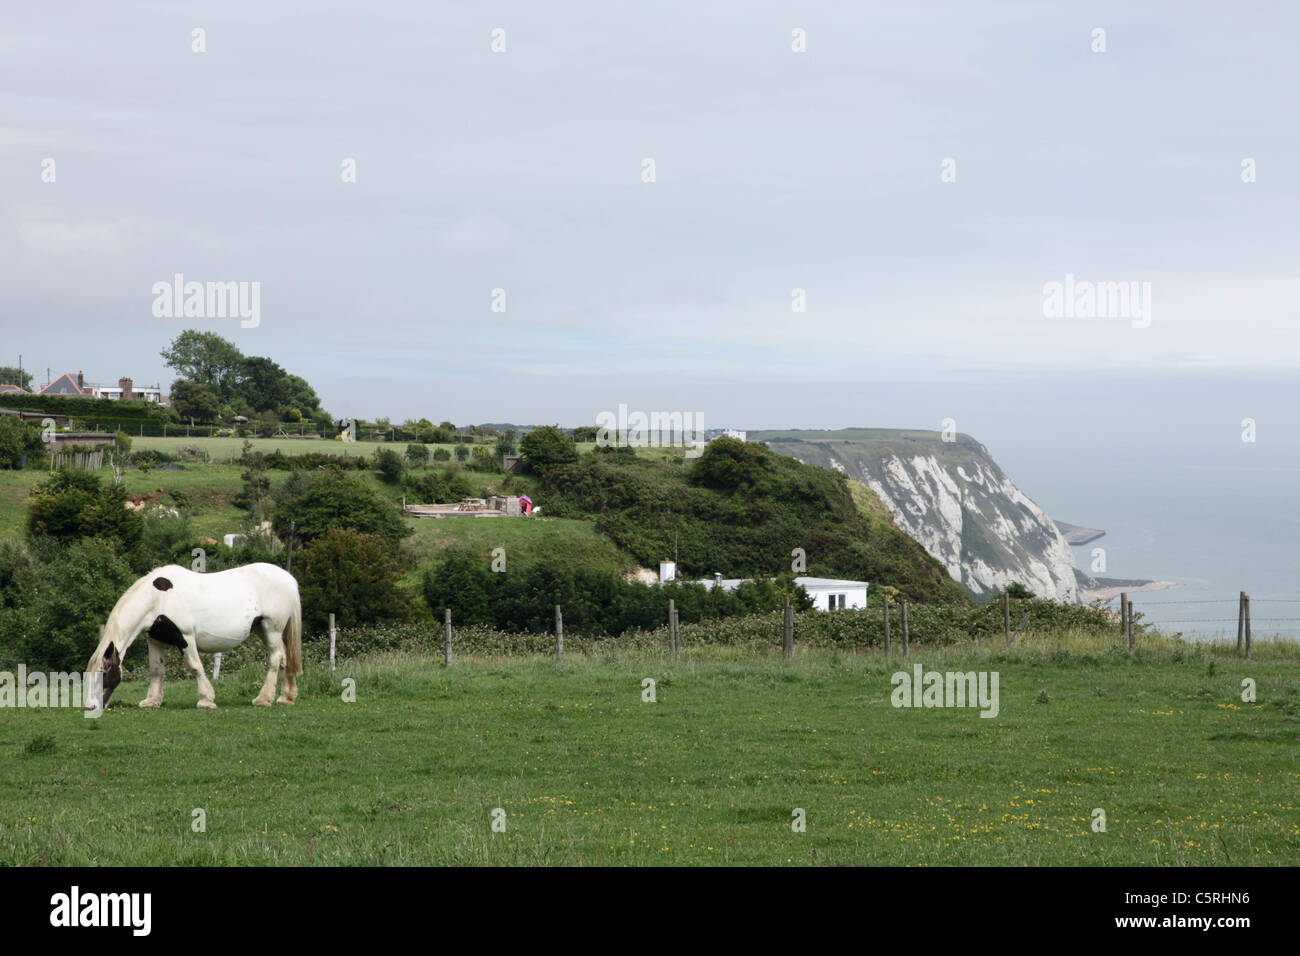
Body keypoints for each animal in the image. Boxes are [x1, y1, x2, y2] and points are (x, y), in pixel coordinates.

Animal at [86, 563, 302, 711]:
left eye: (103, 673)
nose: (91, 707)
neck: (157, 598)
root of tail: (288, 578)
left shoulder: (185, 637)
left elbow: (195, 666)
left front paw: (206, 700)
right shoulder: (155, 640)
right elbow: (156, 670)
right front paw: (152, 701)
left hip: (271, 630)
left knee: (275, 659)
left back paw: (263, 699)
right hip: (265, 631)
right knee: (285, 659)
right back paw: (285, 697)